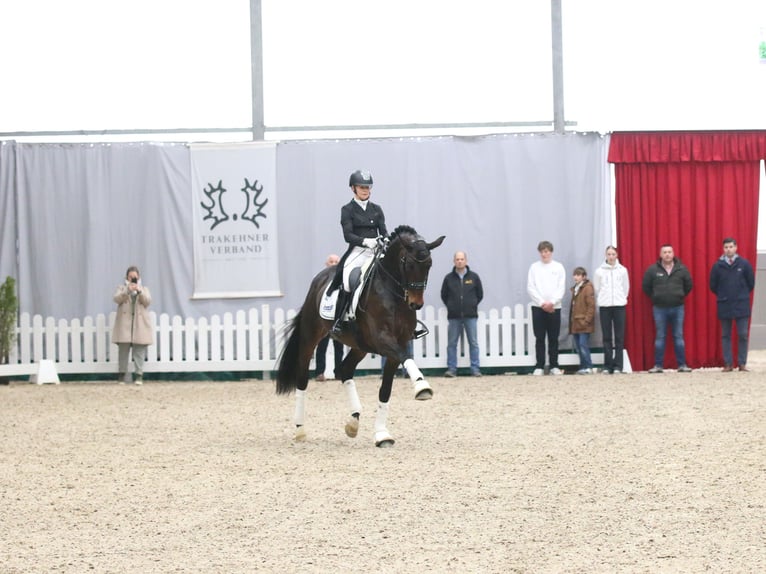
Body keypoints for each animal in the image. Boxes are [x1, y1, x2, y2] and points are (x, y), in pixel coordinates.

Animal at [276, 226, 448, 450]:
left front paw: (382, 435)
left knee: (344, 370)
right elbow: (405, 357)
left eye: (429, 265)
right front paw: (422, 386)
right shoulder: (384, 340)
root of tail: (320, 278)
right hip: (310, 337)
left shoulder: (396, 346)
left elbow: (385, 390)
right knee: (303, 379)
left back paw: (353, 422)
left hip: (360, 346)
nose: (416, 304)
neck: (392, 293)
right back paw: (300, 430)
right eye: (409, 264)